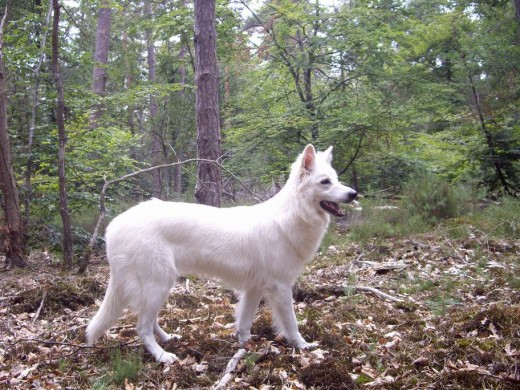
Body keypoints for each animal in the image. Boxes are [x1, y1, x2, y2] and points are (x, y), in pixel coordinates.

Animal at [87, 145, 360, 364]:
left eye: (336, 179)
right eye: (325, 182)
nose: (354, 194)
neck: (291, 215)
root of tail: (114, 226)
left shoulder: (254, 289)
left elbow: (245, 322)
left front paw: (245, 345)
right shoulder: (281, 288)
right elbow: (291, 324)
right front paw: (303, 346)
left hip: (159, 286)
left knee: (149, 321)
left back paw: (167, 339)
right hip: (158, 283)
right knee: (141, 327)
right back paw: (162, 356)